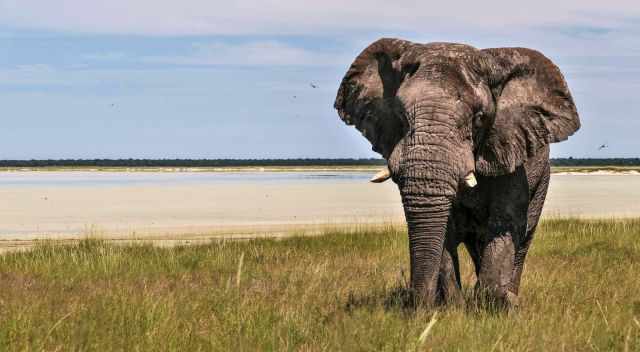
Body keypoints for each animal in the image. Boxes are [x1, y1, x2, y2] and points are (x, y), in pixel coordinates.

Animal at [336, 38, 580, 306]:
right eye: (400, 114)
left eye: (479, 118)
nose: (417, 302)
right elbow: (445, 231)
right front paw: (453, 306)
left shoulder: (510, 154)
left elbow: (505, 222)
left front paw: (499, 303)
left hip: (542, 178)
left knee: (522, 239)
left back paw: (509, 295)